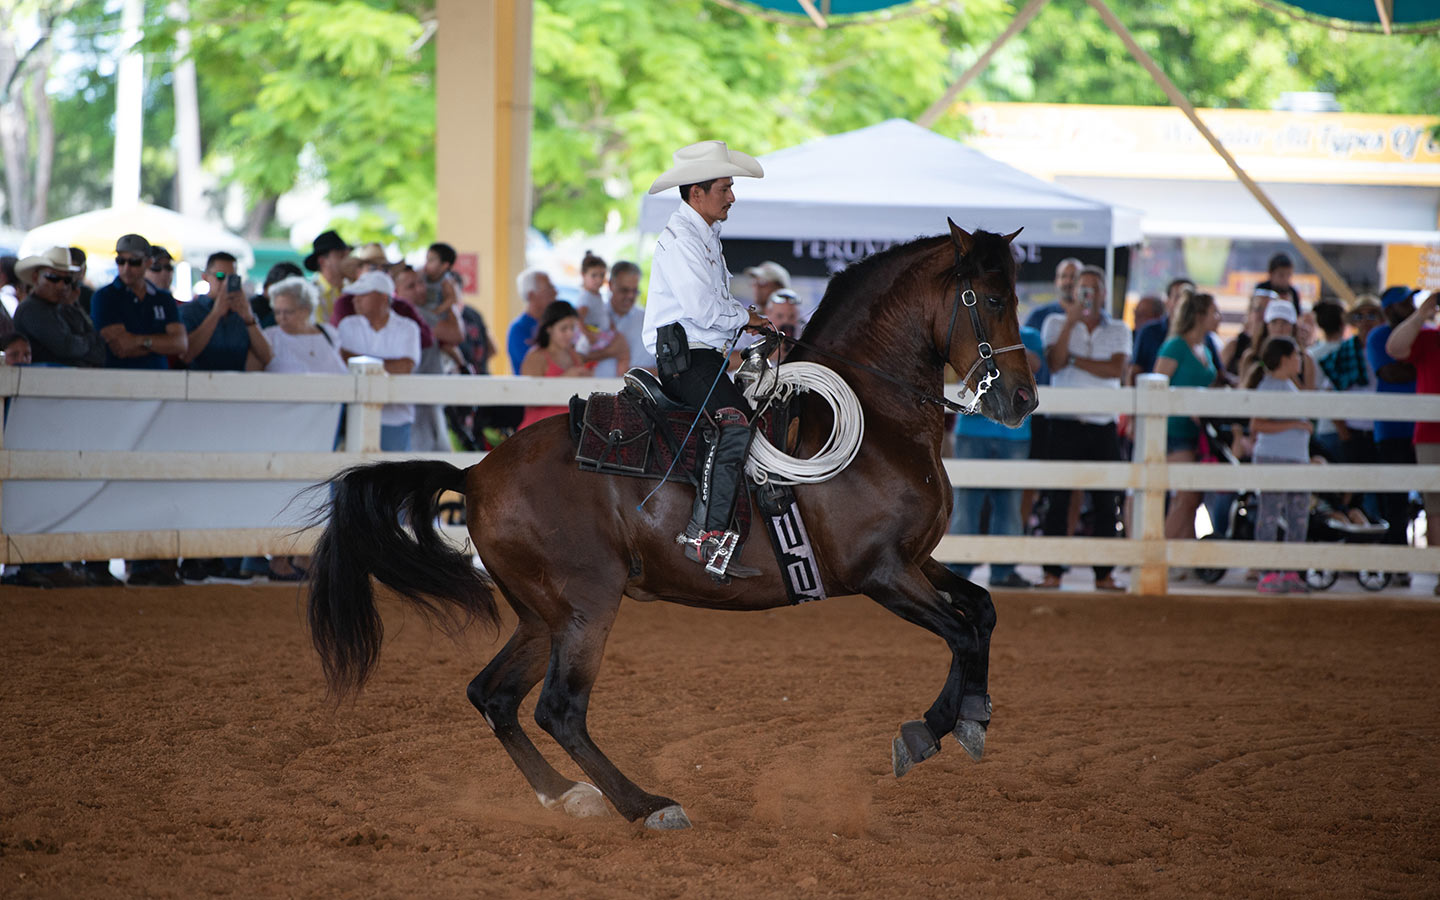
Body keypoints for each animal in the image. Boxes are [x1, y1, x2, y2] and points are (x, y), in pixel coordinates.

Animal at [312, 223, 1036, 829]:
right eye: (992, 298)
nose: (1022, 399)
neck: (875, 420)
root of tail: (476, 473)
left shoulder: (918, 560)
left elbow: (983, 612)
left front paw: (971, 715)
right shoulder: (879, 572)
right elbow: (961, 632)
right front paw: (931, 731)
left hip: (541, 615)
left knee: (493, 696)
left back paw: (567, 796)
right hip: (585, 606)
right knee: (558, 710)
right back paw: (645, 805)